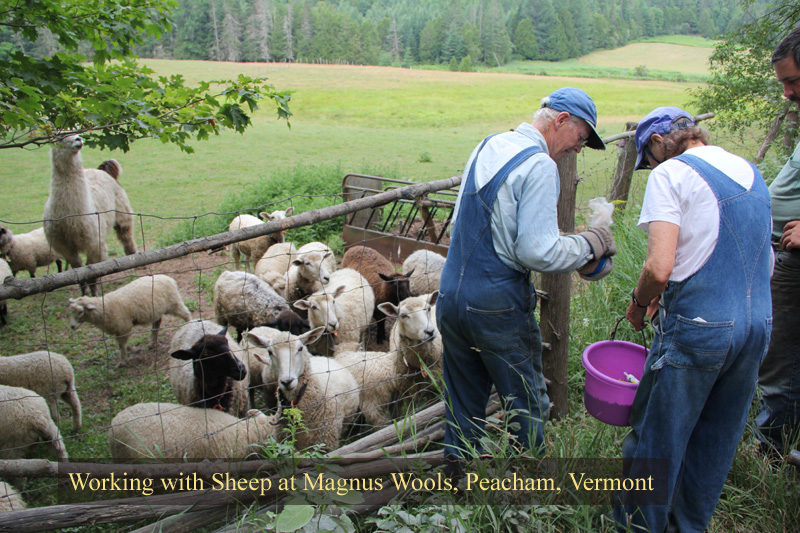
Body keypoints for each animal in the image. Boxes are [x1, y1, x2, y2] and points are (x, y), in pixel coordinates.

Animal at [43, 134, 138, 296]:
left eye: (75, 131)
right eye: (60, 136)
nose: (78, 139)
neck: (70, 218)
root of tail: (101, 170)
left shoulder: (94, 243)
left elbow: (92, 272)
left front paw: (94, 294)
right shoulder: (64, 246)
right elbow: (79, 272)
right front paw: (84, 293)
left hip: (122, 212)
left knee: (126, 238)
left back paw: (135, 265)